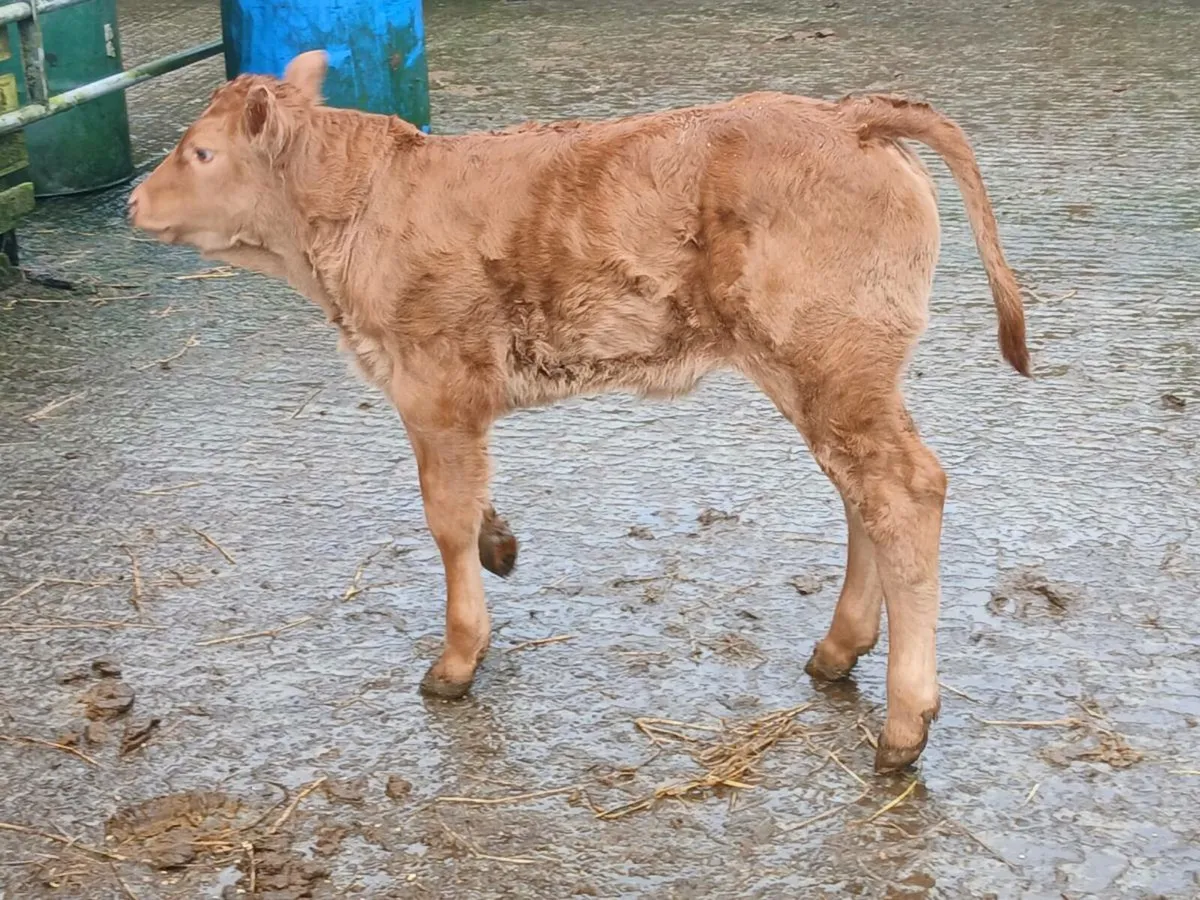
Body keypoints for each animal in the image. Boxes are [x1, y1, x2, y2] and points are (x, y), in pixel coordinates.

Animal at [128, 50, 1030, 773]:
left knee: (903, 491)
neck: (357, 214)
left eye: (201, 152)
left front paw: (458, 657)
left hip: (829, 360)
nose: (134, 201)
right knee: (861, 494)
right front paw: (499, 542)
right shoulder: (456, 403)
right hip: (828, 373)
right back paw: (839, 650)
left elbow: (443, 516)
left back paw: (904, 723)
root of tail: (848, 115)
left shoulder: (433, 385)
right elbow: (471, 502)